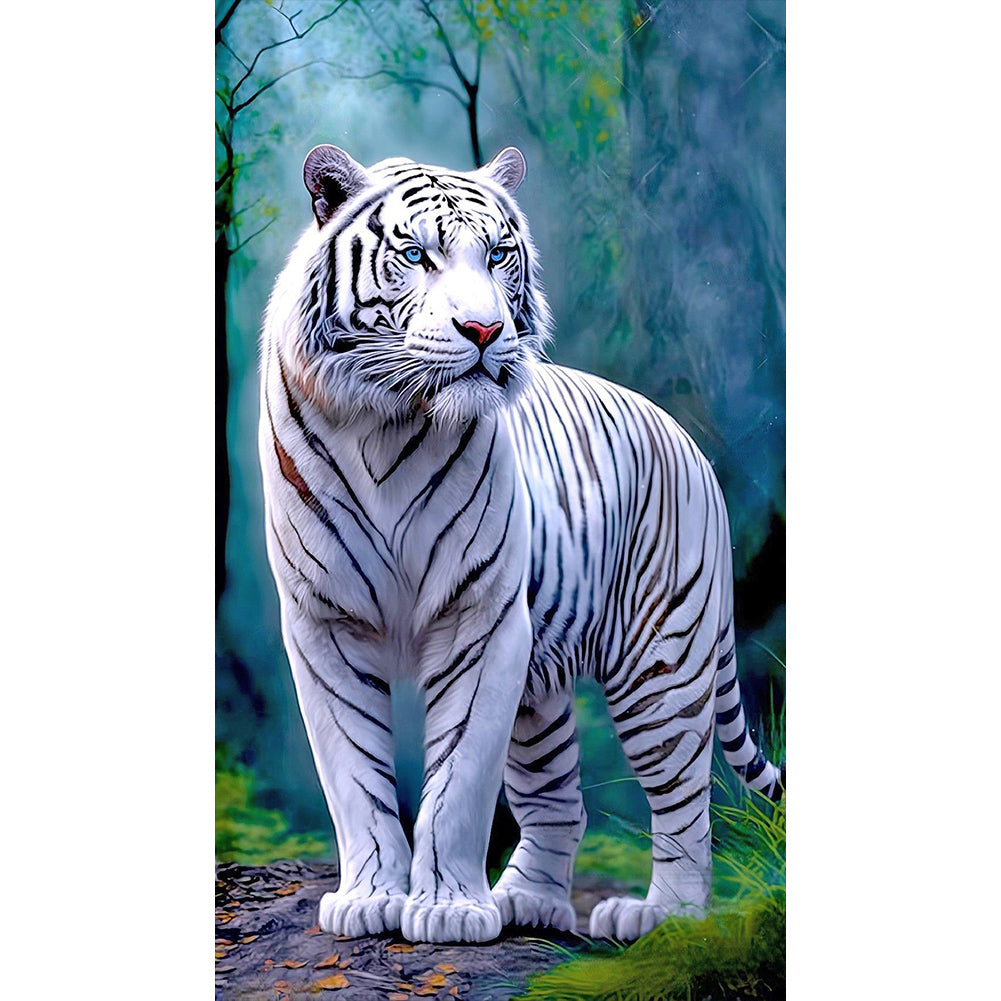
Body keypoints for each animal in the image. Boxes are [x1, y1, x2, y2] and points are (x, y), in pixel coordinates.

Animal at [258, 143, 784, 944]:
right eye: (416, 255)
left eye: (498, 254)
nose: (483, 330)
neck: (384, 418)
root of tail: (687, 442)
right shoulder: (324, 621)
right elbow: (353, 775)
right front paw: (369, 901)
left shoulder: (481, 619)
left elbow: (458, 781)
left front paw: (446, 912)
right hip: (539, 690)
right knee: (560, 800)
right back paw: (526, 901)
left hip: (661, 661)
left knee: (686, 802)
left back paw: (662, 917)